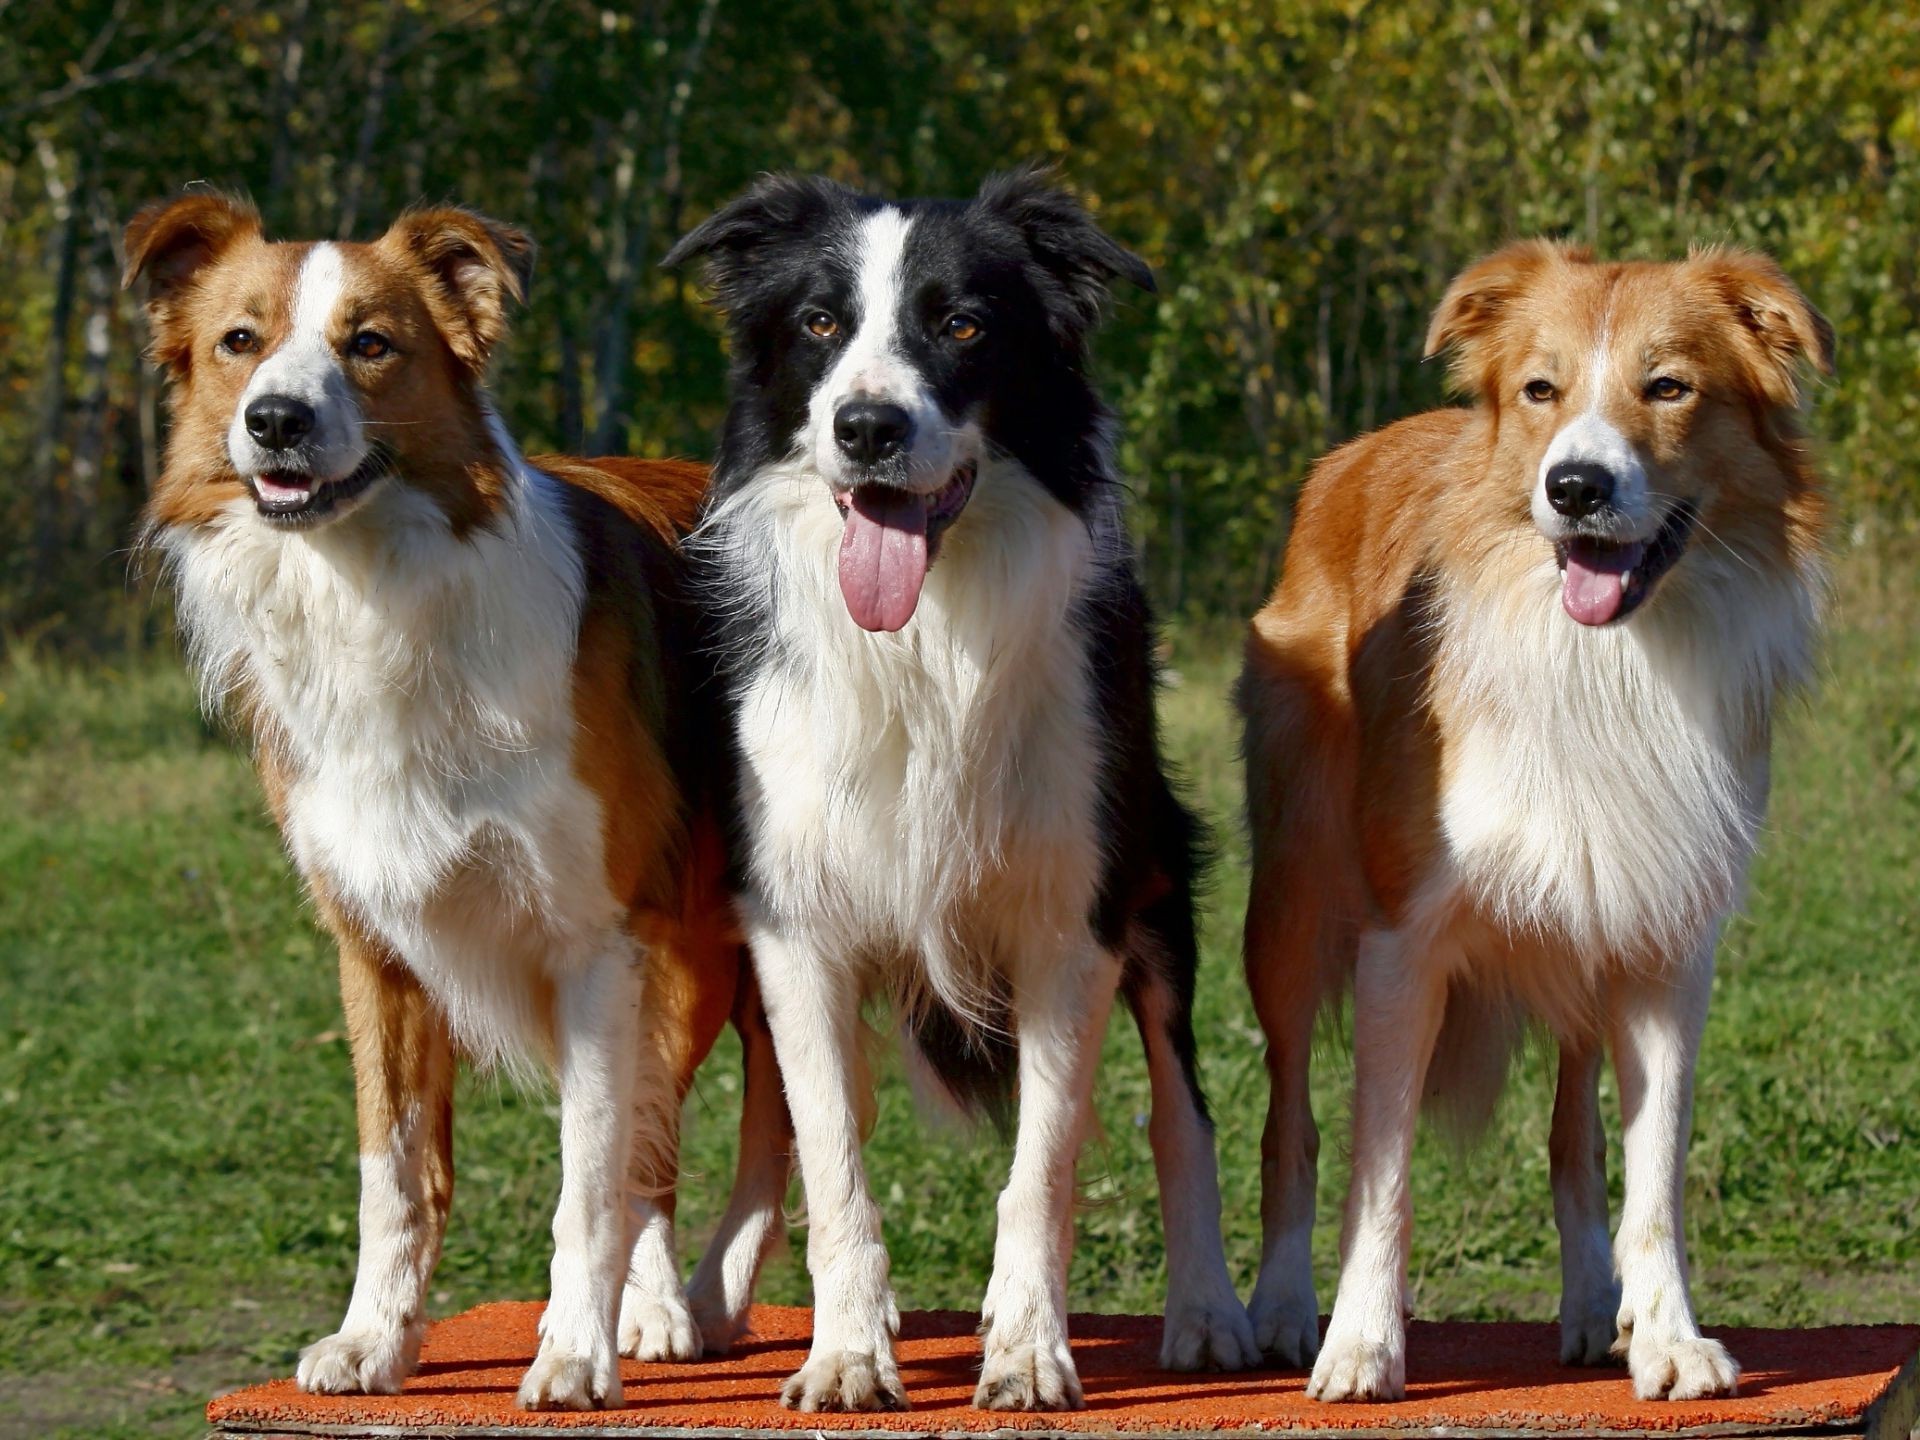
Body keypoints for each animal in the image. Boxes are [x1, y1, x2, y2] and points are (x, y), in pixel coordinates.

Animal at [125, 197, 787, 1413]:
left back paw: (686, 1302)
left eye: (371, 344)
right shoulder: (376, 945)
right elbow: (396, 1173)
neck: (373, 589)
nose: (275, 421)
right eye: (239, 341)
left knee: (716, 1133)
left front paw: (573, 1349)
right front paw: (374, 1341)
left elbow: (589, 1174)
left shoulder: (596, 939)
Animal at [660, 171, 1259, 1420]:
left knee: (1180, 1109)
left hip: (1157, 883)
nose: (867, 428)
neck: (925, 638)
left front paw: (1027, 1349)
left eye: (965, 326)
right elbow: (832, 1152)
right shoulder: (794, 925)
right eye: (820, 323)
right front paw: (845, 1351)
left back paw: (1208, 1311)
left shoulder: (1070, 924)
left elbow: (1045, 1165)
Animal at [1236, 242, 1835, 1405]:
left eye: (1669, 386)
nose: (1575, 487)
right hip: (1288, 906)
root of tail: (1353, 450)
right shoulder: (1402, 942)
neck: (1604, 665)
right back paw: (1281, 1307)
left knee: (1575, 1135)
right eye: (1540, 391)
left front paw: (1669, 1335)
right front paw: (1363, 1344)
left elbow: (1653, 1174)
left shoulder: (1666, 946)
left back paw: (1598, 1305)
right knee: (1291, 1122)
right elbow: (1380, 1173)